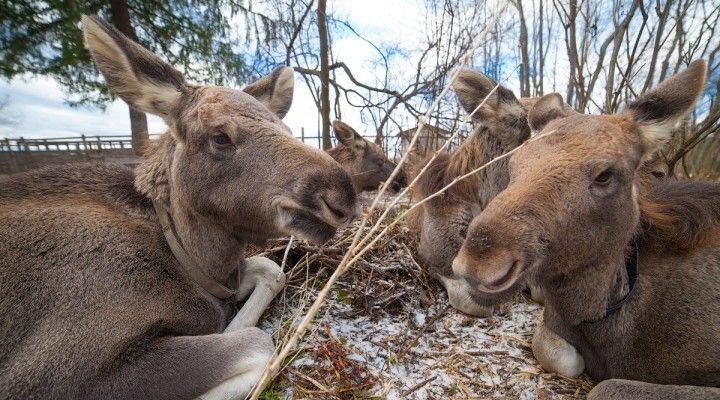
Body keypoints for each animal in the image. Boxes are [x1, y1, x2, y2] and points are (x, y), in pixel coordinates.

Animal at [0, 14, 358, 398]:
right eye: (220, 137)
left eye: (287, 129)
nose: (341, 194)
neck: (188, 259)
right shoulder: (54, 373)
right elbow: (256, 343)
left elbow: (271, 269)